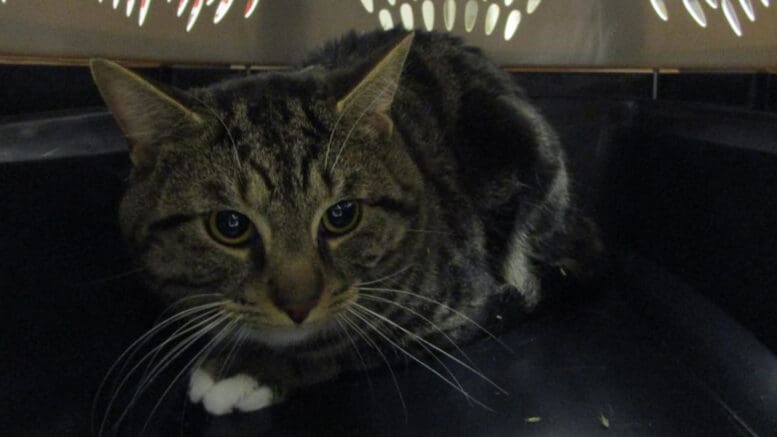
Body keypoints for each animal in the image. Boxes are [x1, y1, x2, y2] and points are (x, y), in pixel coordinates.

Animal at [91, 29, 596, 418]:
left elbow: (350, 338)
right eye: (230, 225)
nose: (299, 305)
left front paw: (247, 369)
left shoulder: (455, 303)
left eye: (341, 215)